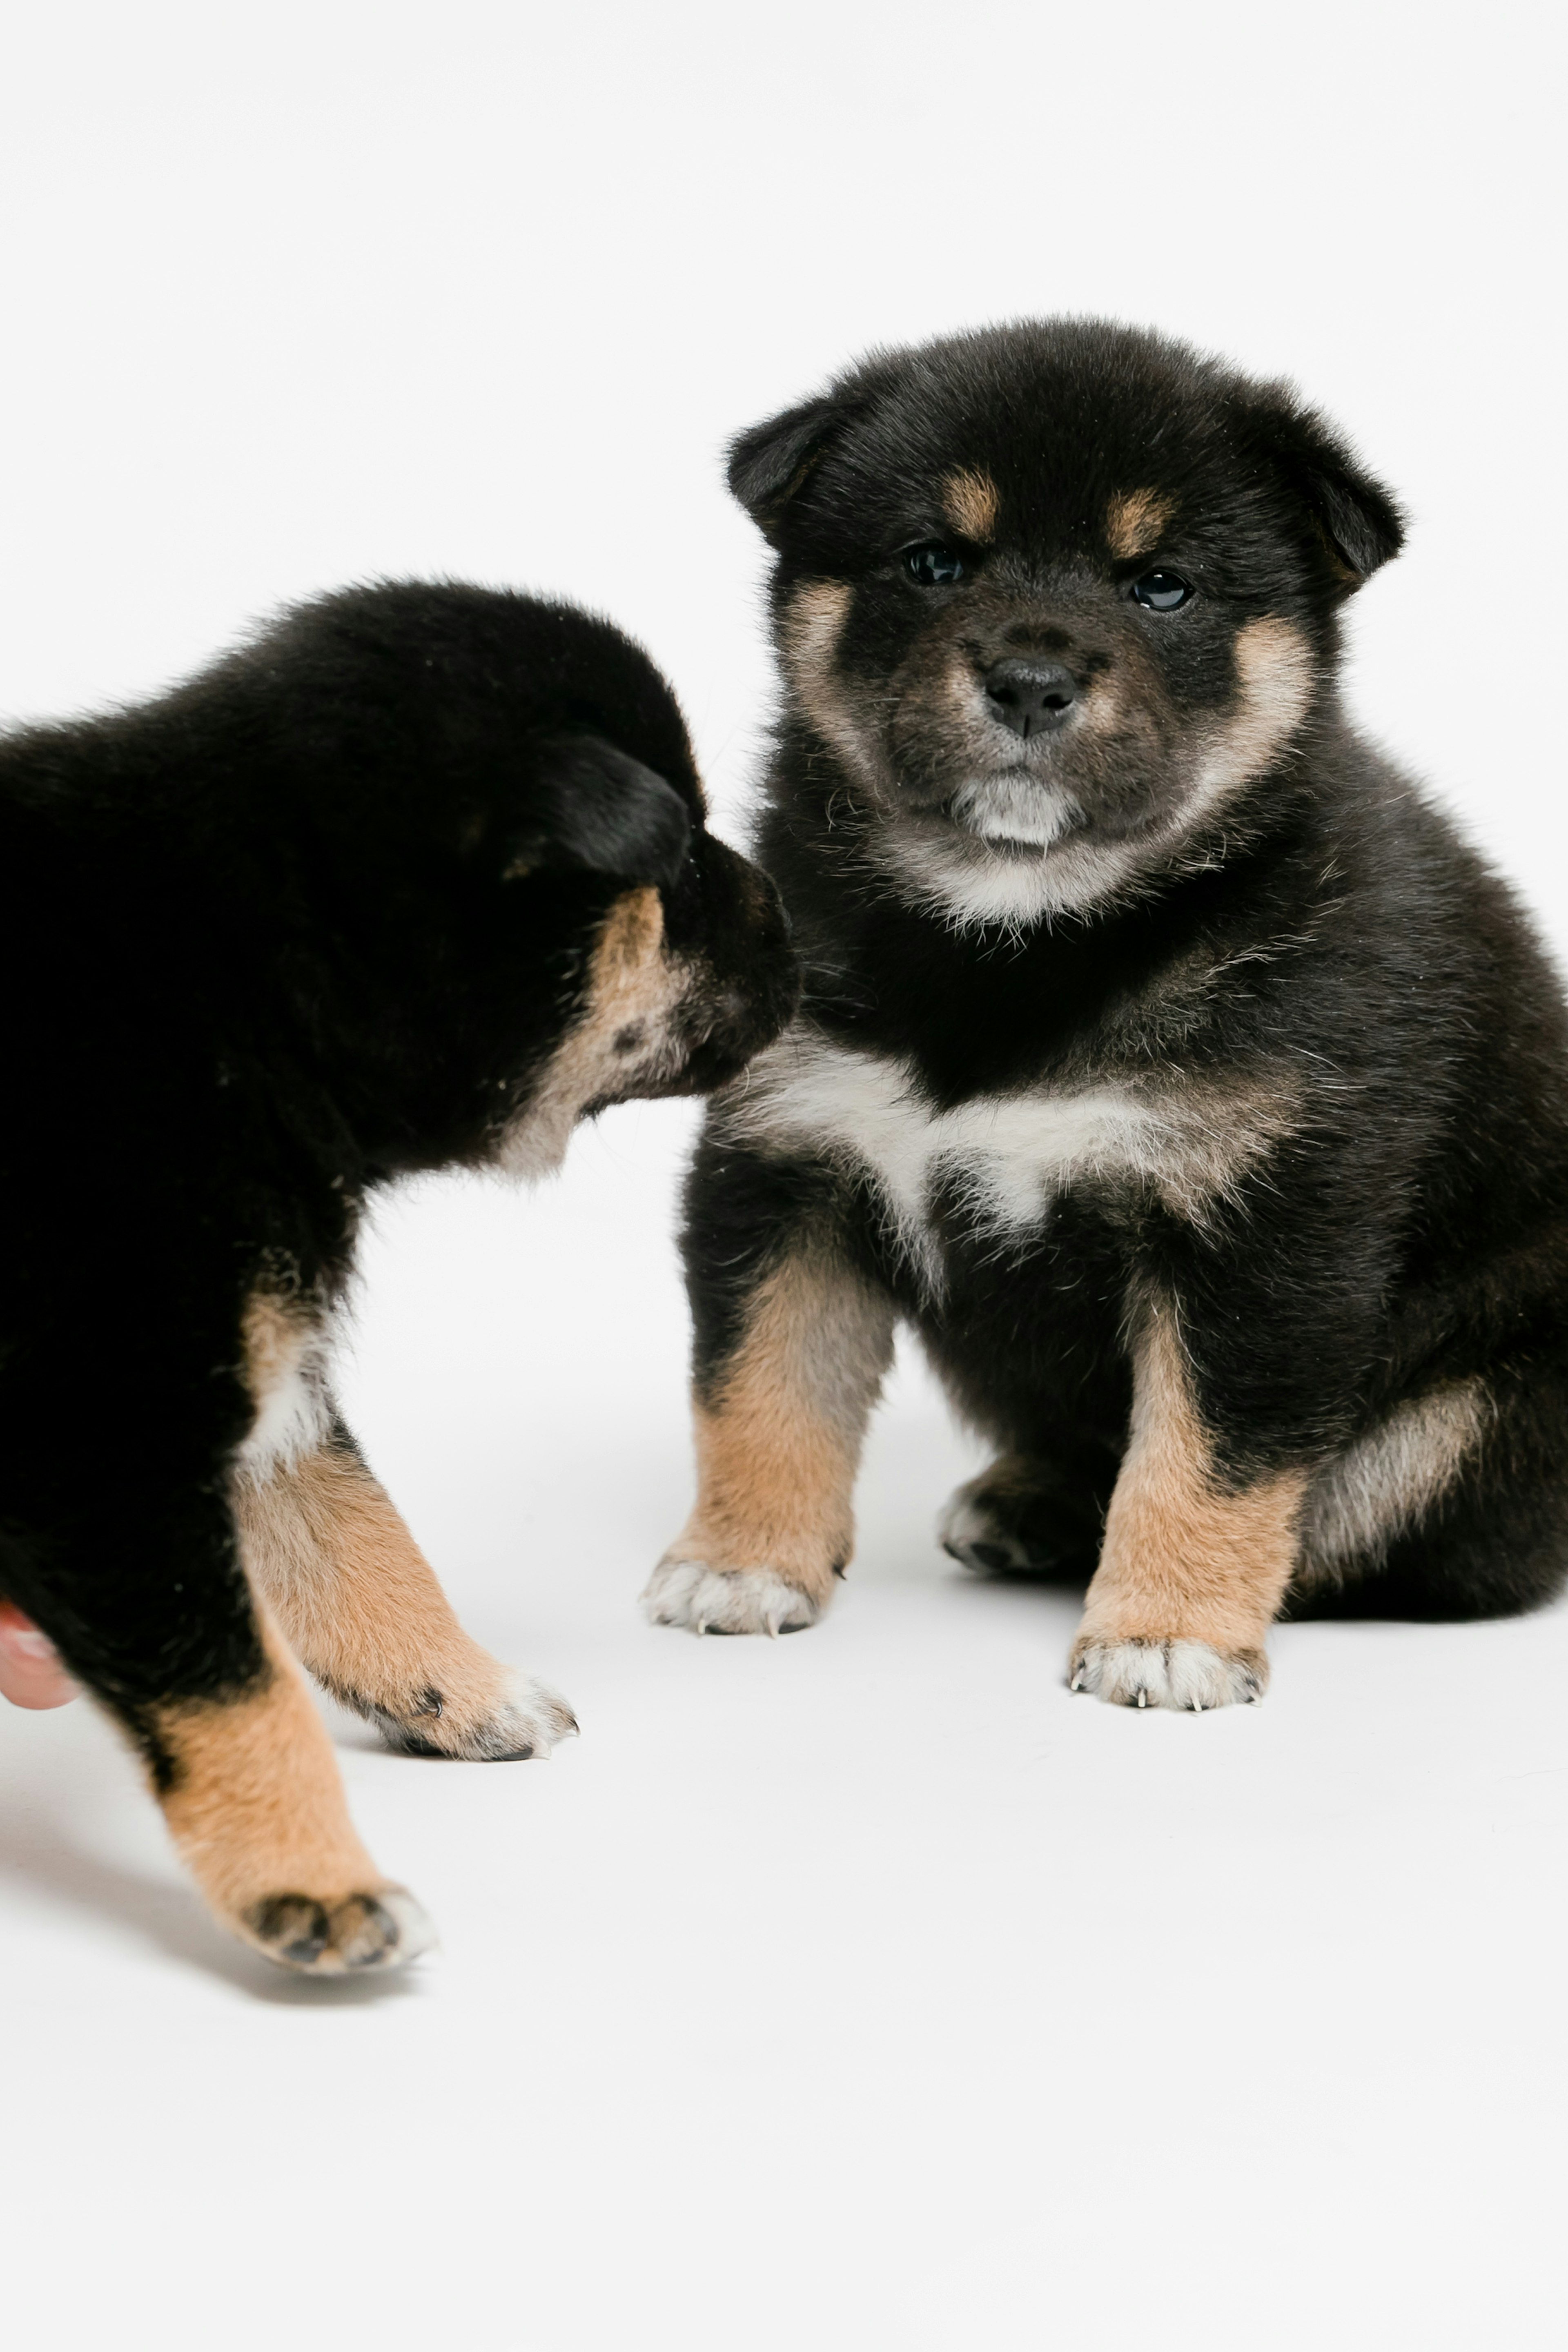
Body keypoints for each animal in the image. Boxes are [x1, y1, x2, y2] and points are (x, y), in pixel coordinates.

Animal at [3, 583, 799, 1966]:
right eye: (687, 864)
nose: (802, 936)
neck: (243, 979)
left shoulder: (260, 1379)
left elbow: (358, 1539)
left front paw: (466, 1694)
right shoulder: (110, 1439)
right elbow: (236, 1686)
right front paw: (315, 1887)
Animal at [644, 317, 1568, 1712]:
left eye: (1162, 587)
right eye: (932, 560)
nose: (1029, 681)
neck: (1026, 942)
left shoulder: (1261, 1225)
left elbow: (1207, 1453)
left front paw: (1167, 1633)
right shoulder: (787, 1159)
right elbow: (764, 1386)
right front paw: (741, 1564)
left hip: (1480, 1402)